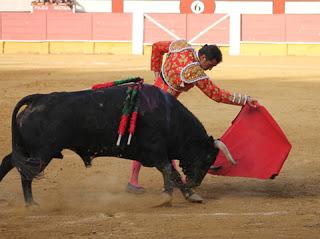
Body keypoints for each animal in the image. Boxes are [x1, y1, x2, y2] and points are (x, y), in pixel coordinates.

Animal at [0, 84, 220, 205]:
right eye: (208, 157)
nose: (195, 182)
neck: (168, 116)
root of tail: (38, 99)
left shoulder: (159, 153)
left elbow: (173, 173)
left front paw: (191, 195)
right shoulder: (156, 150)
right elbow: (169, 170)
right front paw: (166, 198)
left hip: (29, 150)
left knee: (9, 161)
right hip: (41, 153)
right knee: (25, 174)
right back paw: (30, 203)